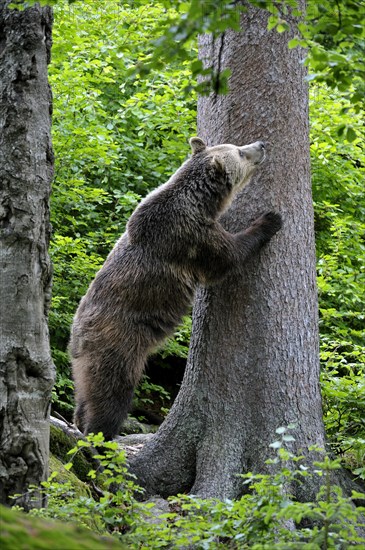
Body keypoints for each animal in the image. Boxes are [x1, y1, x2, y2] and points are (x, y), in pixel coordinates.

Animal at [70, 137, 282, 440]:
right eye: (240, 152)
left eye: (236, 145)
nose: (261, 144)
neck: (199, 203)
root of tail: (78, 332)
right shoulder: (190, 236)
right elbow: (227, 257)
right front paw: (270, 220)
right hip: (119, 343)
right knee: (111, 392)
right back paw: (102, 436)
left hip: (85, 356)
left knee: (84, 390)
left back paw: (79, 419)